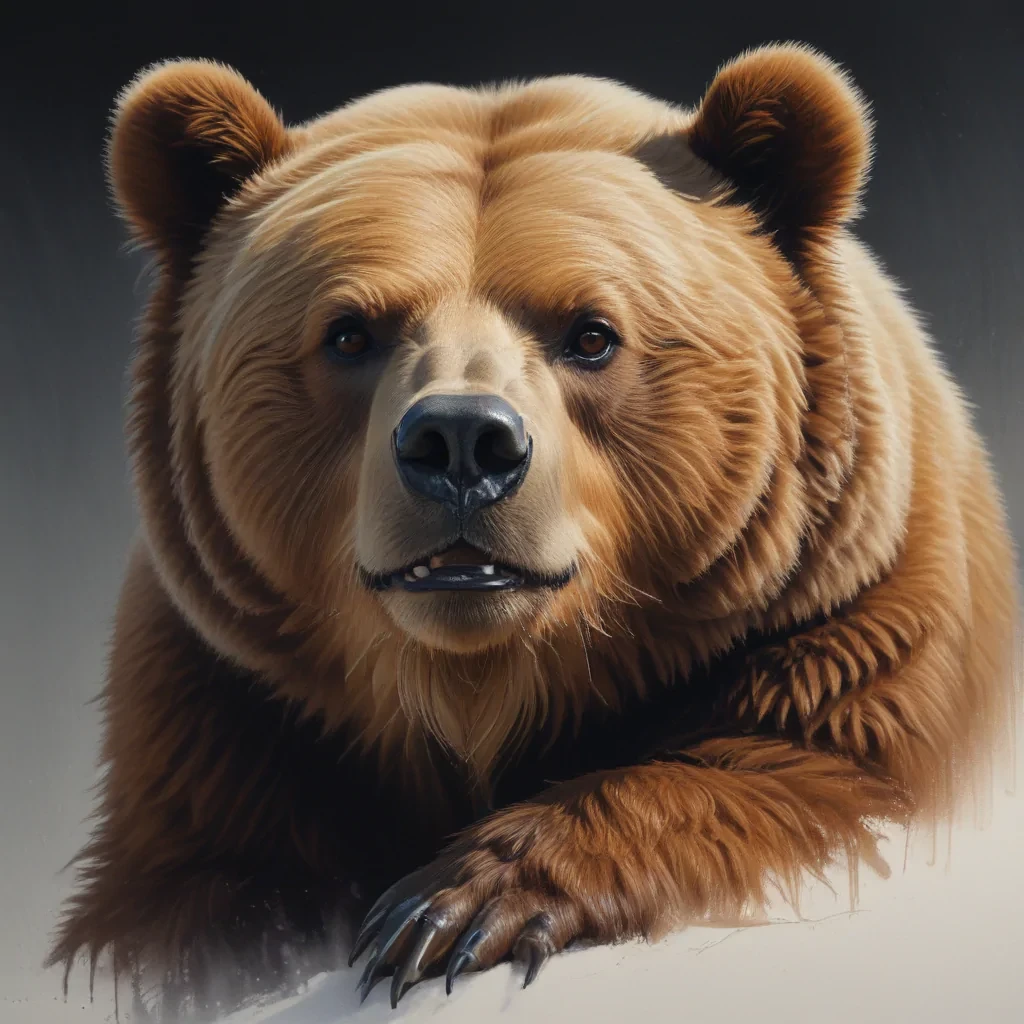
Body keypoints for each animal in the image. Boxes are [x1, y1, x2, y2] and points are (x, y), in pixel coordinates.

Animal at [47, 41, 1020, 1018]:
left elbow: (808, 777)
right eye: (349, 332)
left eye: (591, 334)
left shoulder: (856, 618)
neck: (484, 691)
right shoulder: (226, 705)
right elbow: (194, 904)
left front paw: (452, 908)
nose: (461, 443)